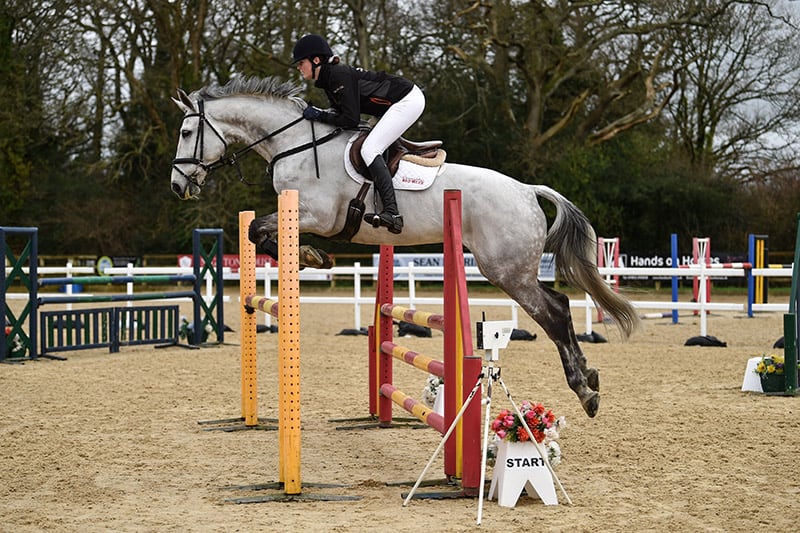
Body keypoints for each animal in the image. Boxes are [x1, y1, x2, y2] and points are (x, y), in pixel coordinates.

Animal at [172, 76, 640, 416]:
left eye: (187, 131)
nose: (179, 186)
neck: (296, 144)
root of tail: (527, 190)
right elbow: (259, 232)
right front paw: (312, 257)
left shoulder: (317, 216)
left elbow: (258, 230)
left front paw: (310, 255)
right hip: (511, 268)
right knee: (558, 306)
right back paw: (588, 382)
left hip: (506, 270)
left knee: (555, 312)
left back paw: (586, 390)